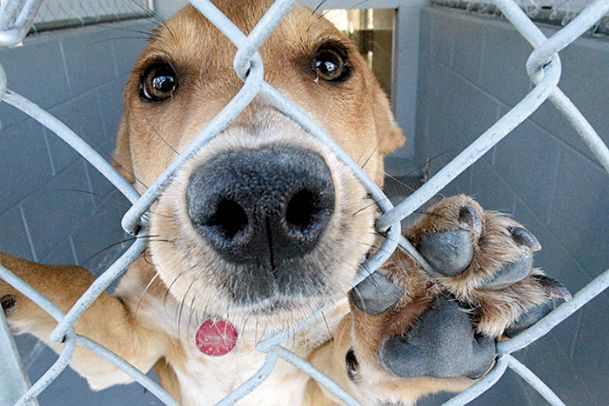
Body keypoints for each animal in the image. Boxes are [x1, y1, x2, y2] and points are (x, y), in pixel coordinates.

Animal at [1, 1, 568, 404]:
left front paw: (414, 305)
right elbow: (69, 287)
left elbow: (352, 363)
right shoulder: (128, 345)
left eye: (331, 62)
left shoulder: (324, 386)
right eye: (157, 81)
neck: (255, 335)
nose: (261, 199)